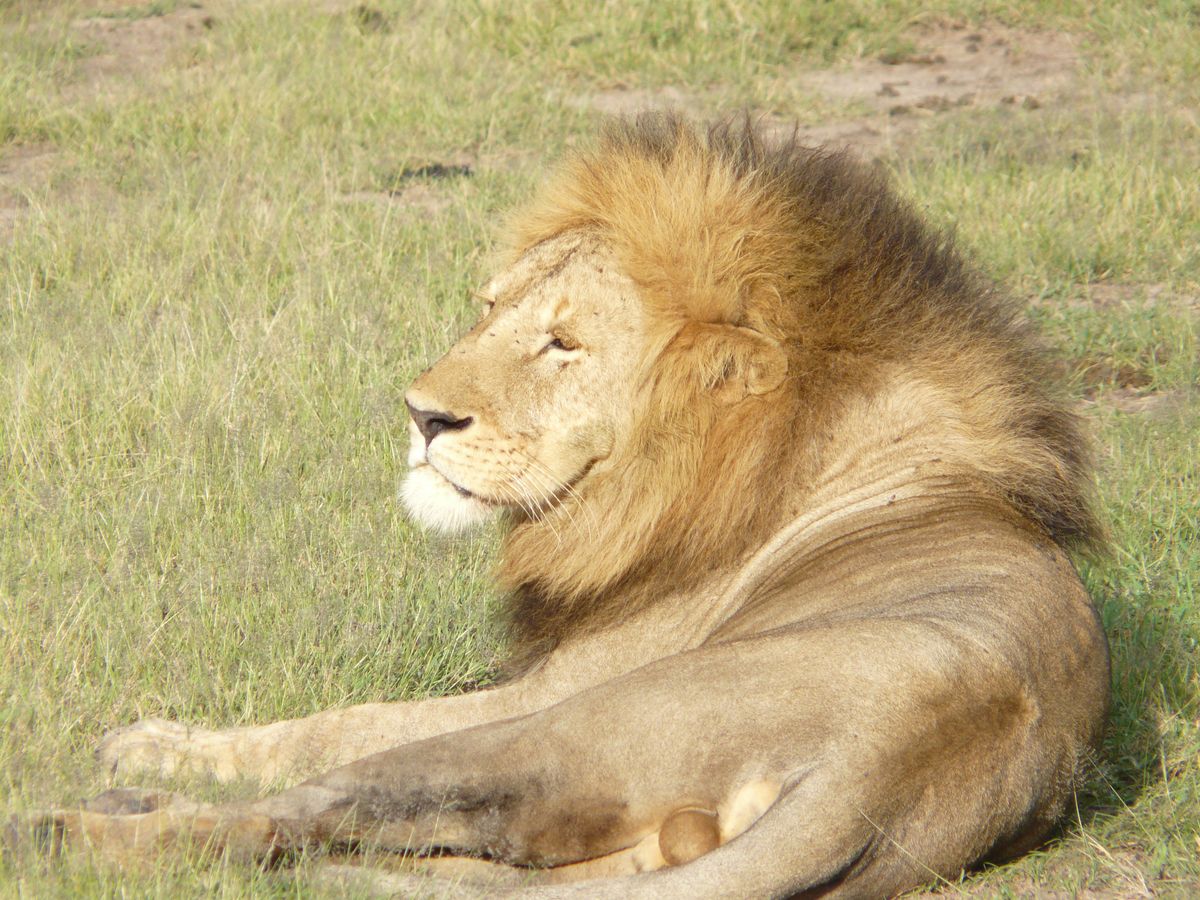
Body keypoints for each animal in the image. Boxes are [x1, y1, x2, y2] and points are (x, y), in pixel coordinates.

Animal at [20, 115, 1109, 898]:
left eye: (565, 344)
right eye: (488, 309)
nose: (421, 414)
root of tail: (889, 767)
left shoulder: (539, 686)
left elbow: (331, 723)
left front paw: (155, 740)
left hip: (554, 733)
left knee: (311, 802)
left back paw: (77, 822)